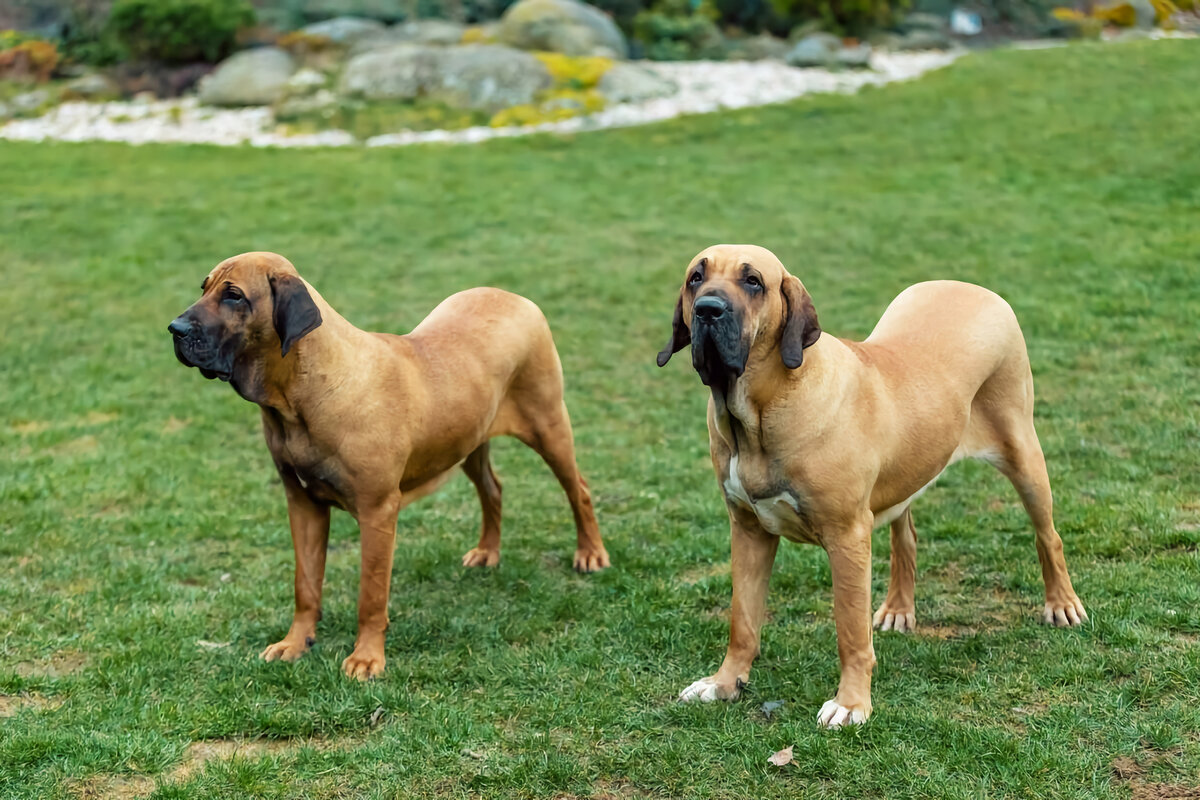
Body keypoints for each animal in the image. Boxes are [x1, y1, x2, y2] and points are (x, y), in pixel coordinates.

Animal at [166, 253, 609, 681]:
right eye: (204, 288)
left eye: (234, 296)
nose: (174, 328)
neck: (301, 393)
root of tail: (515, 297)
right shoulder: (303, 504)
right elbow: (305, 585)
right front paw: (295, 643)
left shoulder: (377, 512)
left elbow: (371, 595)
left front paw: (366, 659)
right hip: (468, 440)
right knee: (493, 489)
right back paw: (488, 551)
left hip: (548, 425)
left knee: (579, 489)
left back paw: (591, 554)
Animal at [657, 242, 1089, 724]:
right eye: (696, 277)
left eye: (753, 282)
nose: (708, 309)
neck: (758, 414)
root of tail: (973, 288)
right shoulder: (748, 530)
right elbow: (743, 619)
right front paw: (724, 683)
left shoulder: (847, 536)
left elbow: (849, 628)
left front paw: (850, 703)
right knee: (907, 536)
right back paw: (899, 608)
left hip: (1023, 451)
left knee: (1048, 534)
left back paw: (1062, 604)